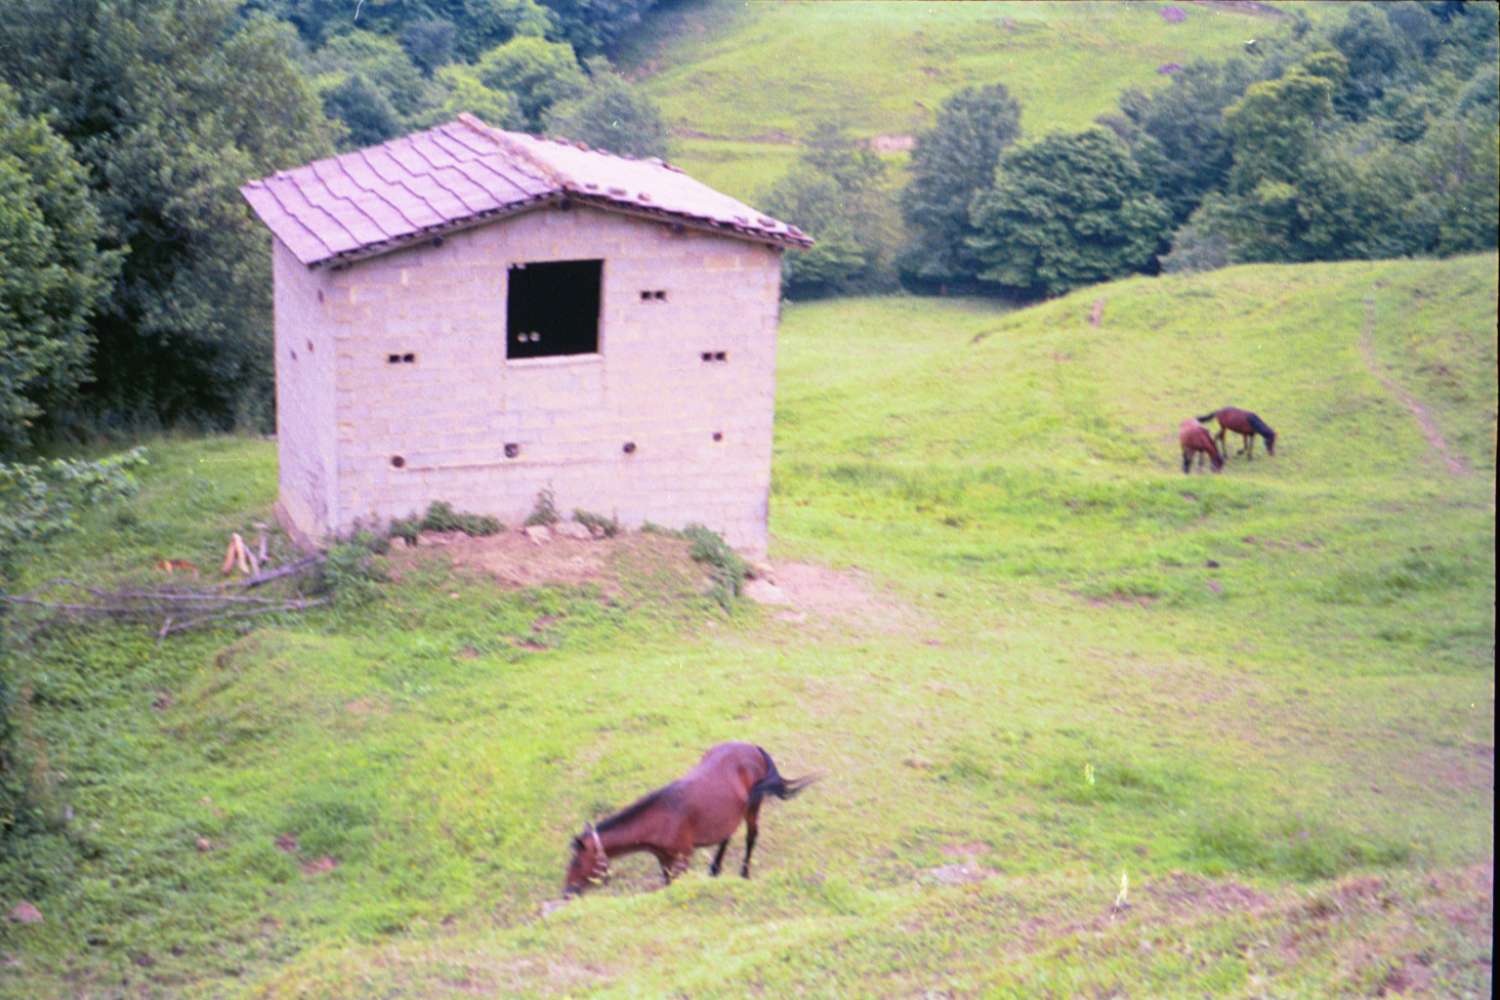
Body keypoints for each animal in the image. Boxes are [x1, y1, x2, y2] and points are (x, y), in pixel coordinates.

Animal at [564, 743, 822, 899]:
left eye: (577, 862)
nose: (567, 892)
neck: (660, 817)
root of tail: (753, 748)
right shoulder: (665, 860)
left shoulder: (682, 859)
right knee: (726, 836)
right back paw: (715, 869)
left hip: (753, 807)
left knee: (751, 837)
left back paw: (744, 873)